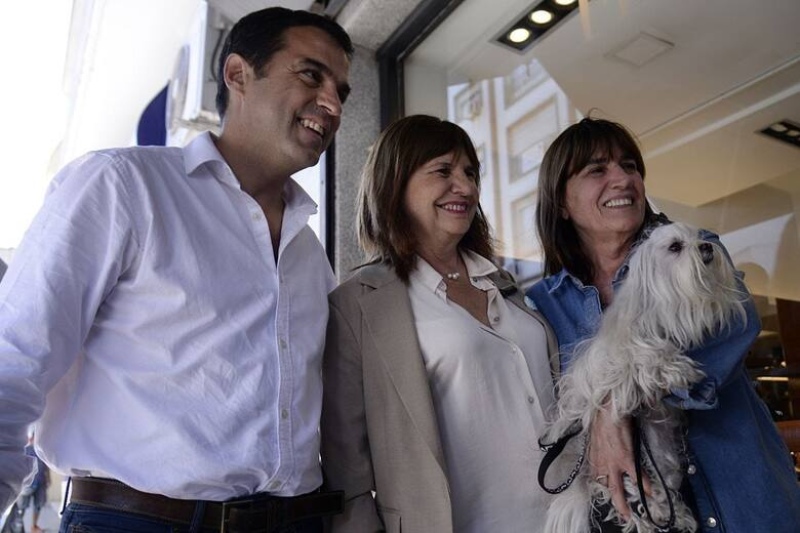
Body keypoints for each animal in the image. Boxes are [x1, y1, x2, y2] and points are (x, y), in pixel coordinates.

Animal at [536, 221, 752, 532]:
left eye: (698, 236)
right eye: (675, 246)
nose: (707, 246)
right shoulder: (621, 358)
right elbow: (645, 359)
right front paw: (677, 369)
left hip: (660, 455)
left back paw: (676, 515)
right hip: (629, 463)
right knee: (634, 494)